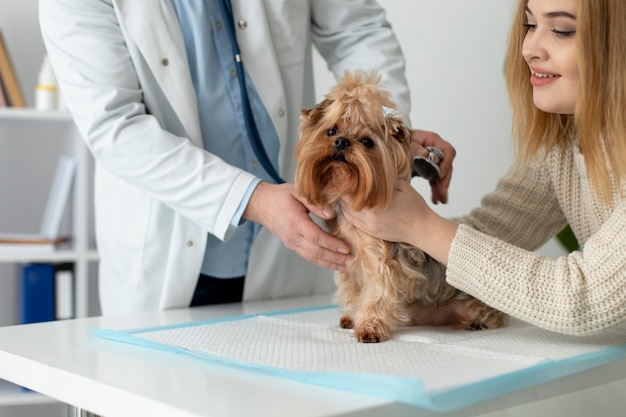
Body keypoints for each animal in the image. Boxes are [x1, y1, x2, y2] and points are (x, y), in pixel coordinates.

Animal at [294, 70, 508, 342]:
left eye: (367, 142)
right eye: (331, 131)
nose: (342, 142)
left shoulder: (381, 261)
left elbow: (377, 293)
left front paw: (369, 327)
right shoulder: (350, 266)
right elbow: (355, 293)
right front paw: (352, 317)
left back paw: (477, 321)